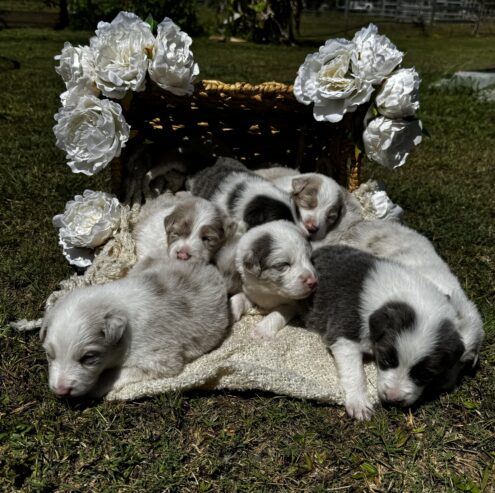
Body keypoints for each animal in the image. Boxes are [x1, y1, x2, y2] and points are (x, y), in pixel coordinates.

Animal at [40, 256, 231, 398]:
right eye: (49, 355)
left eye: (88, 358)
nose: (60, 391)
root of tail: (208, 266)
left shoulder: (159, 358)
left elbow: (116, 374)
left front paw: (96, 388)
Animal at [304, 245, 474, 418]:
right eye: (386, 361)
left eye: (425, 374)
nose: (393, 399)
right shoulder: (344, 334)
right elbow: (355, 372)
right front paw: (359, 402)